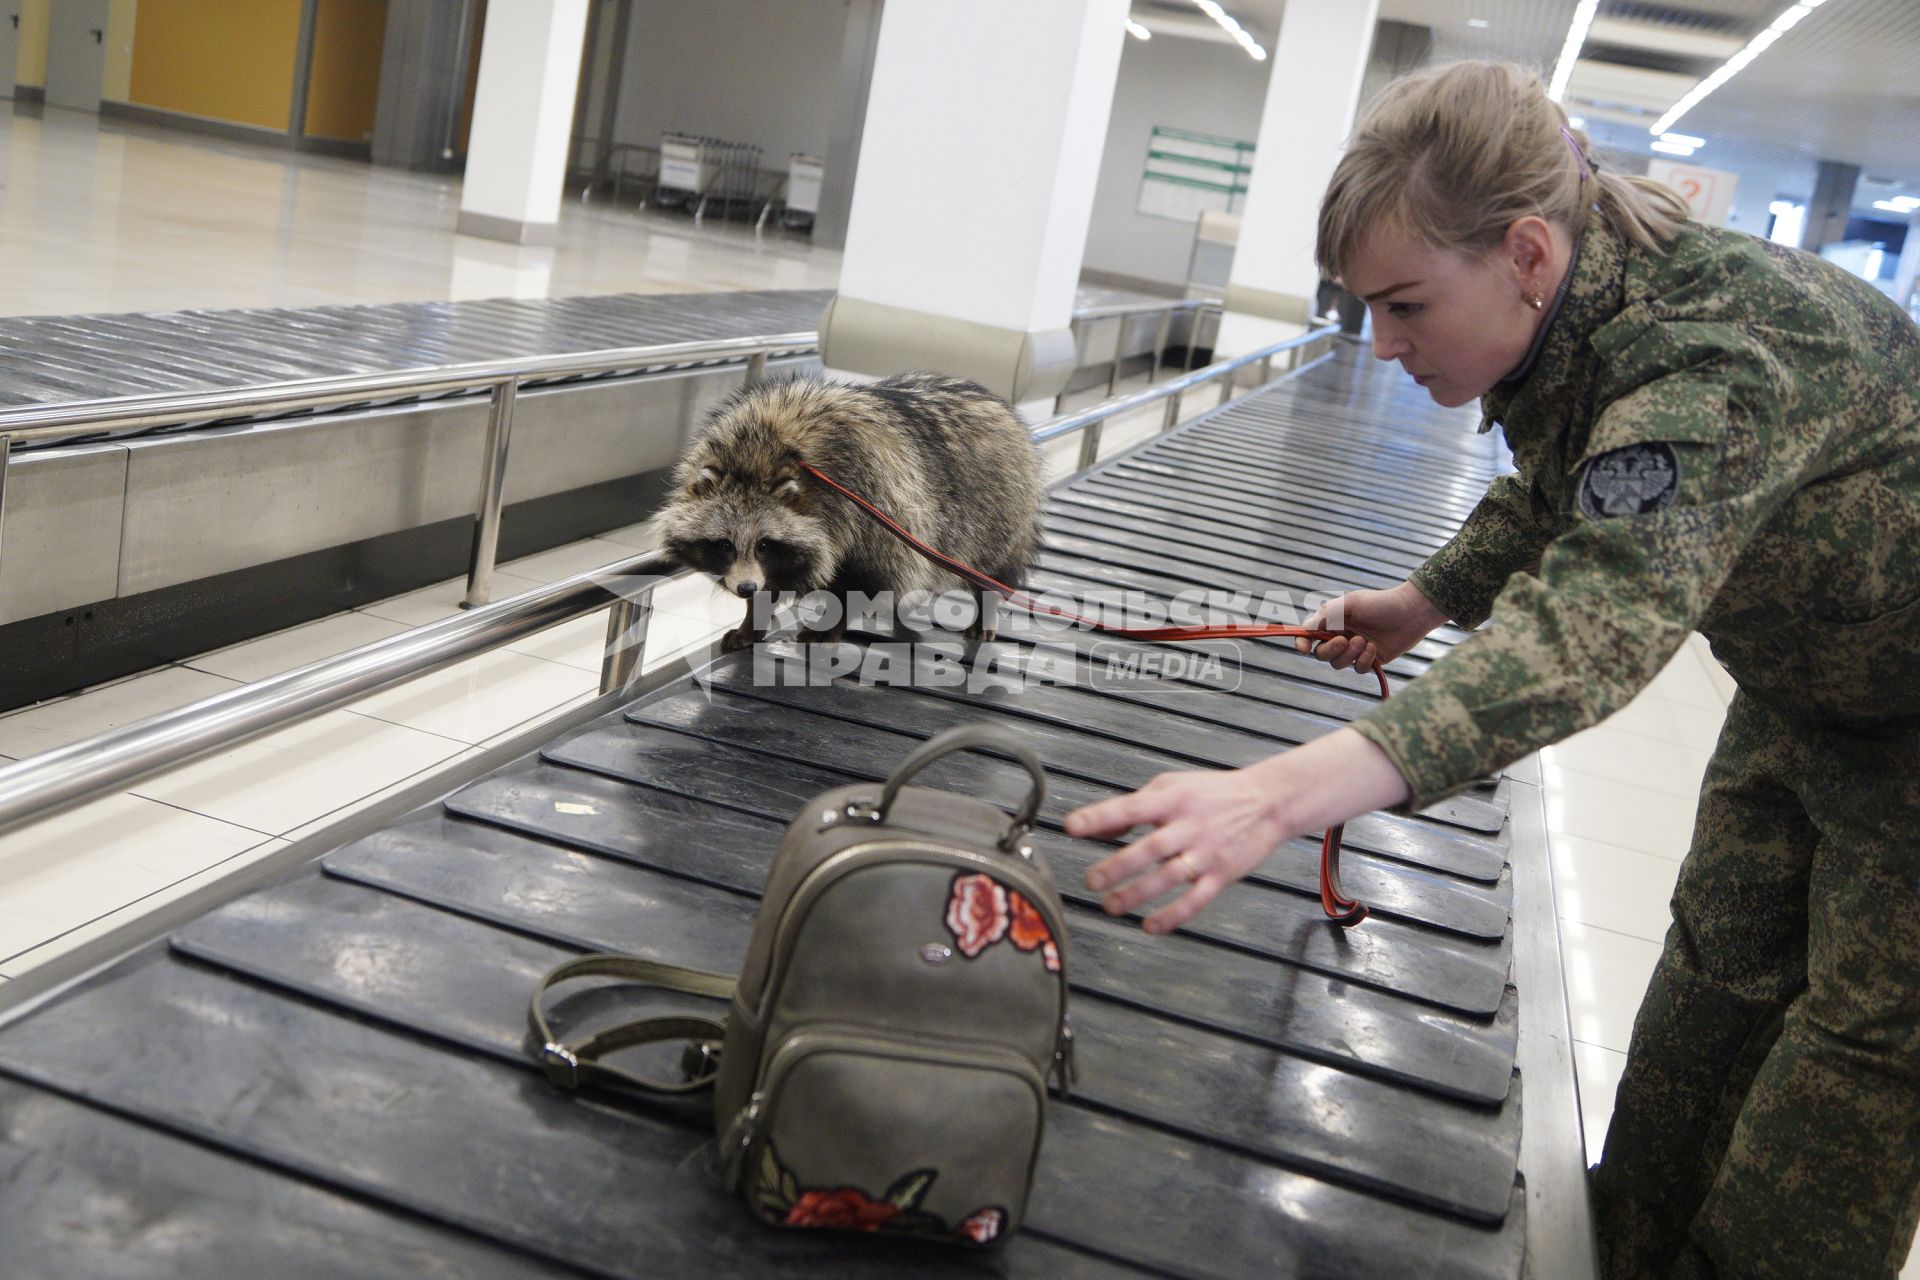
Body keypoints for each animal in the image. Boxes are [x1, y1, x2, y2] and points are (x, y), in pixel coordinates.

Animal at [660, 370, 1052, 652]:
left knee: (993, 565)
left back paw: (987, 604)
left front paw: (831, 625)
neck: (762, 451)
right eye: (725, 545)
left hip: (998, 510)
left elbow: (869, 577)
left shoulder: (871, 500)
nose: (745, 588)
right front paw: (753, 617)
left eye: (764, 544)